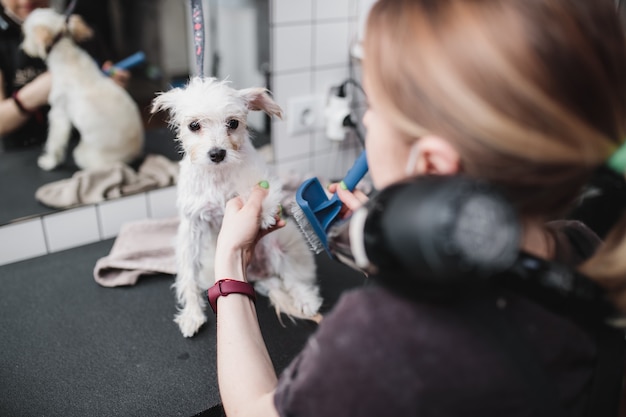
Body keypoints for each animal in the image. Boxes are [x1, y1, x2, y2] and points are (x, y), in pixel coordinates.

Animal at [21, 8, 143, 171]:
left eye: (26, 34)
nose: (24, 47)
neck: (67, 56)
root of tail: (135, 153)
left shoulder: (59, 114)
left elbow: (54, 141)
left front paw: (50, 162)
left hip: (82, 154)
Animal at [151, 76, 322, 336]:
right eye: (194, 125)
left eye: (233, 123)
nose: (217, 153)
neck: (218, 175)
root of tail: (258, 274)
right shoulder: (191, 227)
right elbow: (188, 276)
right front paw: (192, 314)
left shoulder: (264, 179)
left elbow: (259, 190)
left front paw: (264, 213)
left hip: (281, 247)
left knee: (292, 278)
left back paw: (306, 300)